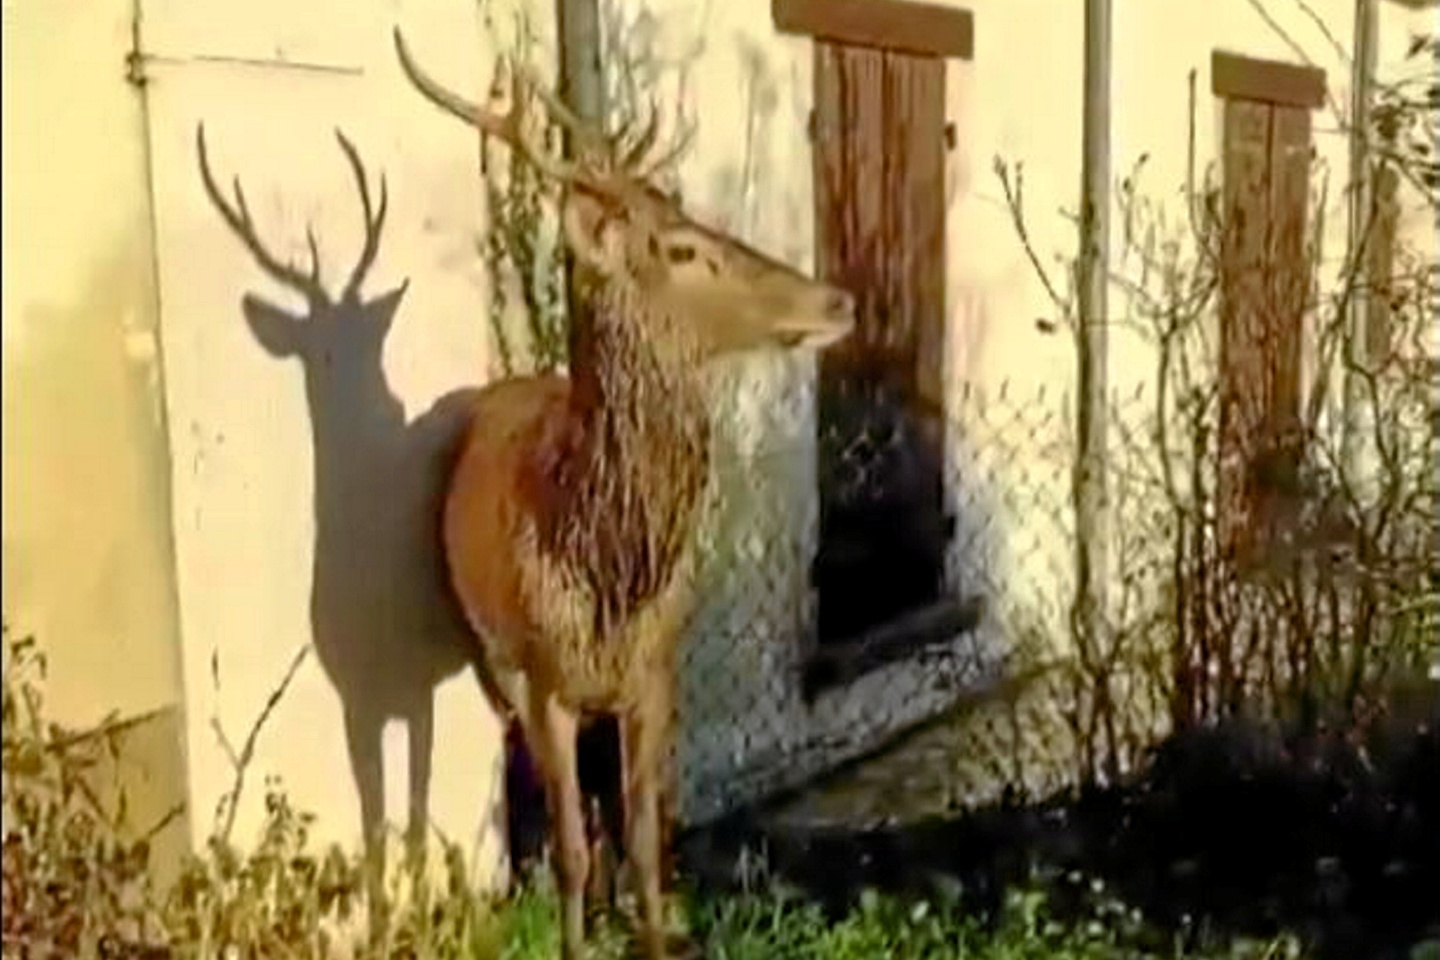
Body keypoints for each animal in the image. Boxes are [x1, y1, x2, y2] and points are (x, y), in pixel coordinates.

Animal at [192, 127, 478, 892]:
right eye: (320, 350)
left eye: (375, 341)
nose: (392, 405)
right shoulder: (357, 696)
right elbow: (377, 836)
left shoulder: (416, 685)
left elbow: (413, 828)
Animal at [391, 30, 852, 960]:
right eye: (680, 251)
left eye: (704, 226)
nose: (837, 298)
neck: (606, 565)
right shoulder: (542, 678)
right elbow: (566, 846)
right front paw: (577, 934)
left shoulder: (654, 669)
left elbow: (645, 839)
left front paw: (649, 930)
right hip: (493, 662)